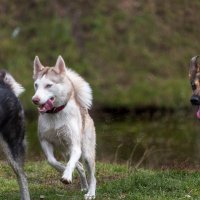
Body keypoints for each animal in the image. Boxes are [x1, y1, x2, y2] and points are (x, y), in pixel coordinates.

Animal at [31, 55, 96, 199]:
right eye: (36, 85)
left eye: (49, 85)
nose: (35, 100)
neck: (55, 114)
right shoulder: (45, 141)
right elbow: (52, 161)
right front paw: (63, 170)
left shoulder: (75, 147)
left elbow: (70, 164)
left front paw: (66, 176)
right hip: (65, 151)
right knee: (80, 167)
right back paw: (84, 186)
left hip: (86, 153)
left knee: (92, 176)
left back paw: (90, 192)